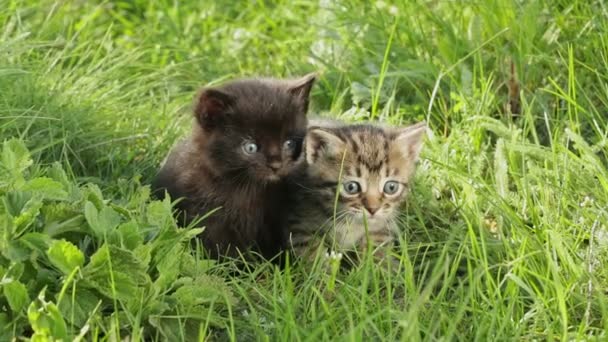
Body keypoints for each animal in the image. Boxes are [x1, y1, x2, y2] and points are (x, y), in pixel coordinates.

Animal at [151, 74, 316, 260]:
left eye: (289, 143)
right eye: (250, 147)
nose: (276, 165)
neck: (249, 189)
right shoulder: (207, 216)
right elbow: (225, 250)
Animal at [286, 121, 426, 264]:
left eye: (391, 187)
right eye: (351, 187)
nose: (373, 209)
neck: (350, 223)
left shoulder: (383, 224)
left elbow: (377, 246)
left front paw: (377, 265)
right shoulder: (298, 224)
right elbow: (311, 251)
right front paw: (321, 267)